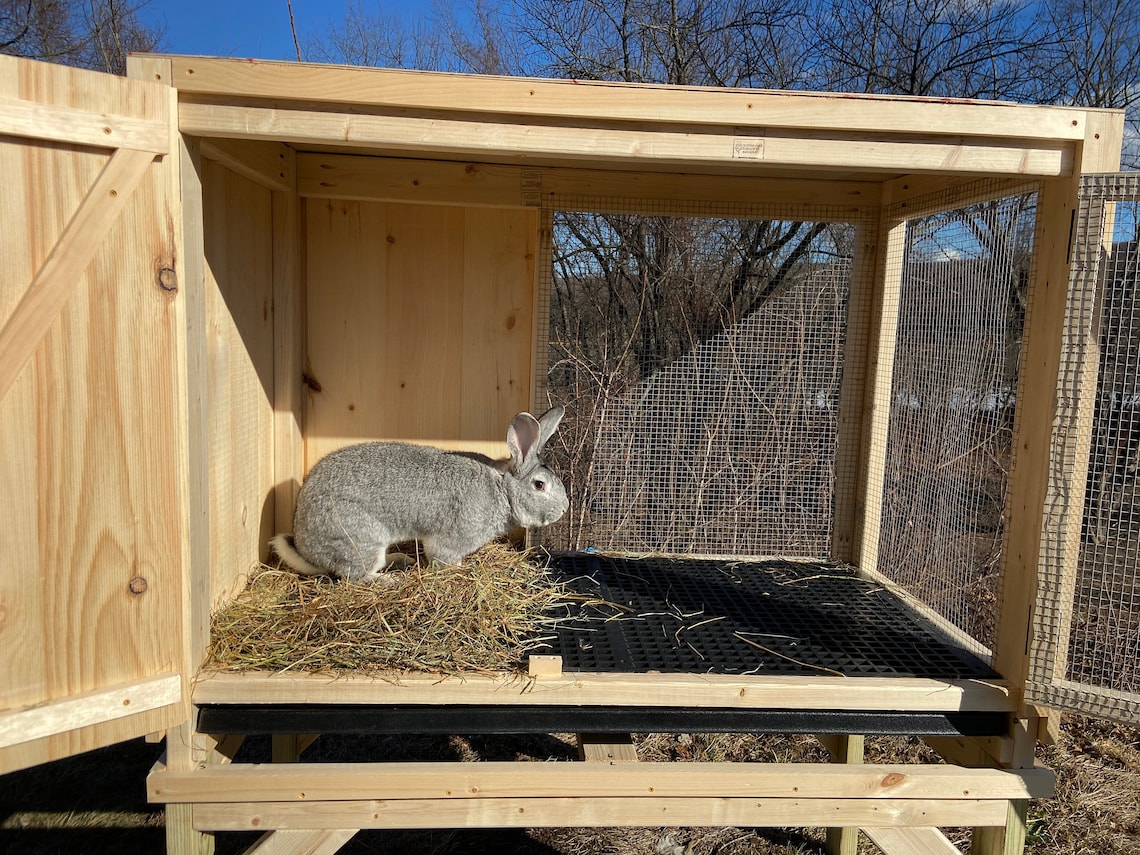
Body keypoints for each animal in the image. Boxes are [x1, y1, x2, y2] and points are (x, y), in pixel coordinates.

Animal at [270, 406, 568, 582]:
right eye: (539, 485)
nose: (565, 508)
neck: (502, 491)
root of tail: (307, 549)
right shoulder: (451, 540)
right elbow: (442, 558)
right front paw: (461, 570)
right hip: (360, 539)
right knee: (356, 576)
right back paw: (388, 580)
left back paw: (401, 561)